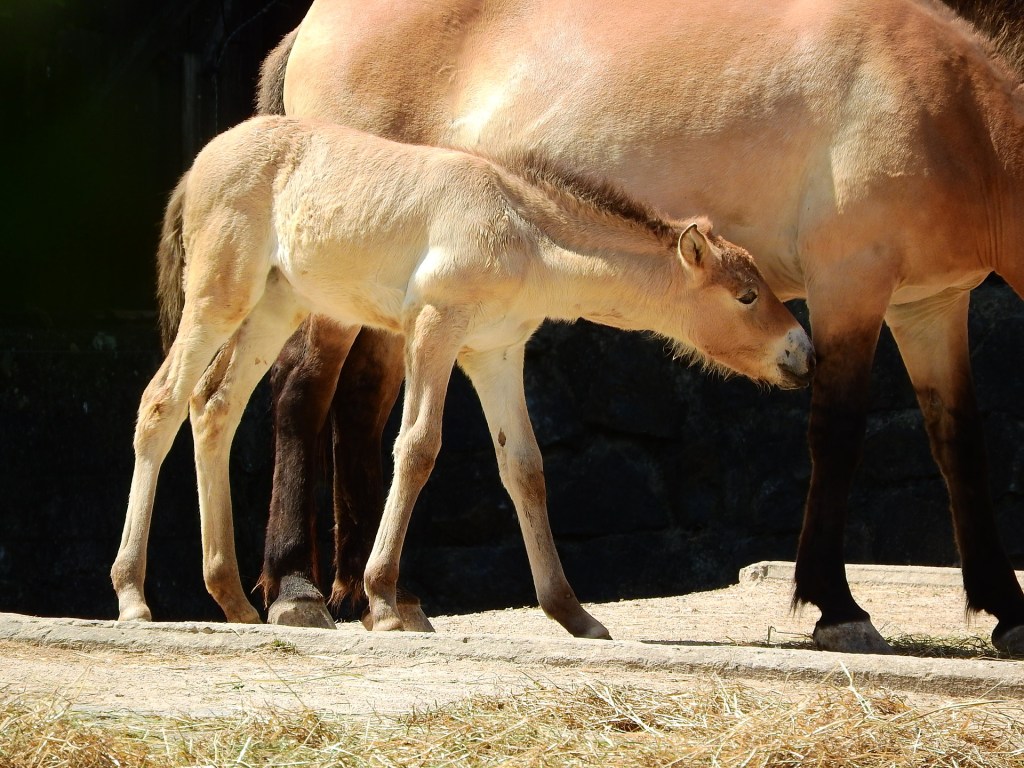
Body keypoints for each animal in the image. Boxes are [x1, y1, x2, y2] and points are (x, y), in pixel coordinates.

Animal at [110, 115, 815, 638]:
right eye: (747, 295)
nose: (803, 353)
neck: (523, 232)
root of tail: (199, 164)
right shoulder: (433, 328)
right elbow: (418, 446)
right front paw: (386, 600)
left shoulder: (496, 354)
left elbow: (525, 468)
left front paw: (573, 614)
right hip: (219, 298)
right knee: (161, 403)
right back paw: (133, 597)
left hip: (274, 309)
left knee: (214, 408)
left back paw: (233, 599)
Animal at [258, 0, 1024, 655]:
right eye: (747, 296)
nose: (795, 352)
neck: (947, 107)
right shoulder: (851, 286)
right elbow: (835, 436)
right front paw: (838, 608)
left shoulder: (930, 306)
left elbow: (960, 443)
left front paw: (1005, 611)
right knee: (301, 391)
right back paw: (298, 590)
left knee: (359, 409)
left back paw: (374, 595)